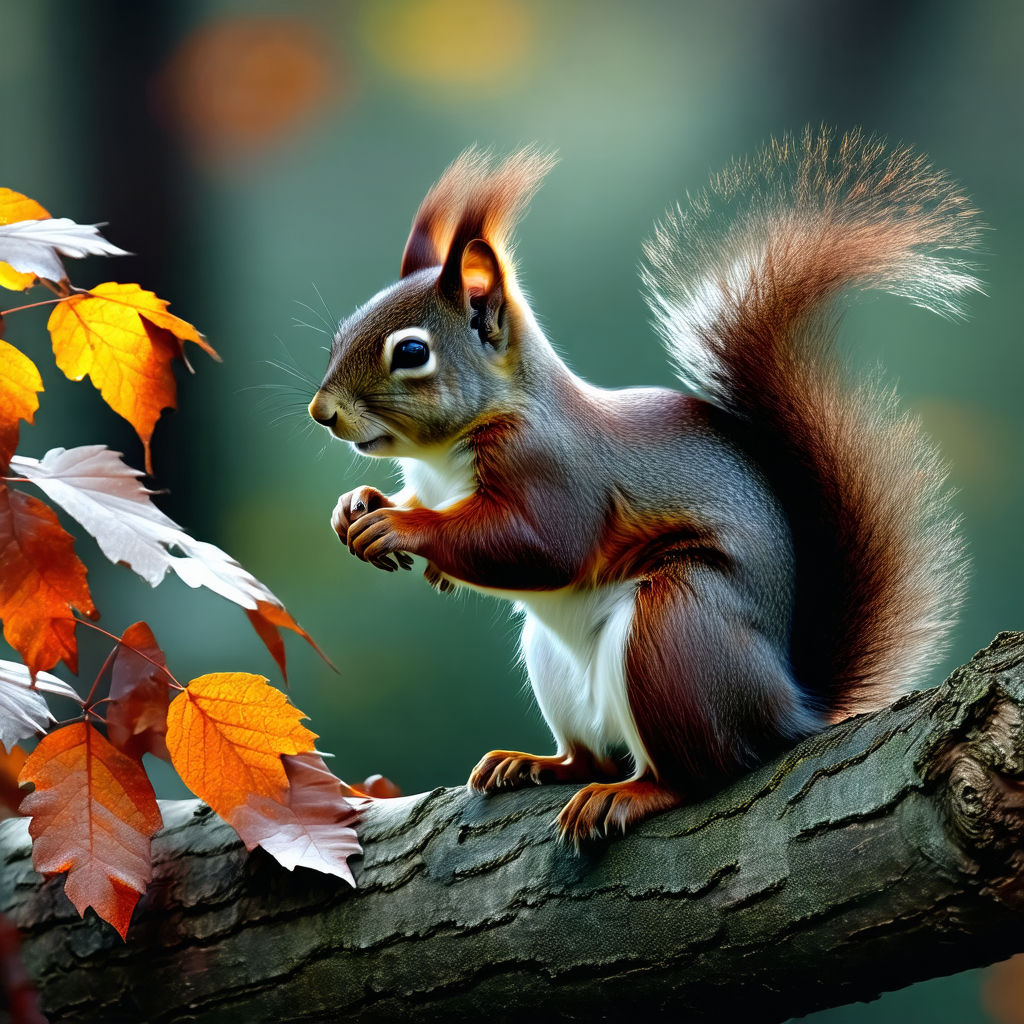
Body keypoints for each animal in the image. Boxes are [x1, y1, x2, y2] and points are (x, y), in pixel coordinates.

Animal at [307, 128, 981, 843]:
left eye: (411, 353)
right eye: (343, 332)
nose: (322, 412)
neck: (440, 455)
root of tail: (787, 708)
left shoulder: (551, 469)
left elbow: (544, 547)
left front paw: (401, 527)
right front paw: (359, 507)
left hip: (675, 634)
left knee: (696, 771)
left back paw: (632, 794)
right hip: (556, 662)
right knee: (590, 756)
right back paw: (536, 764)